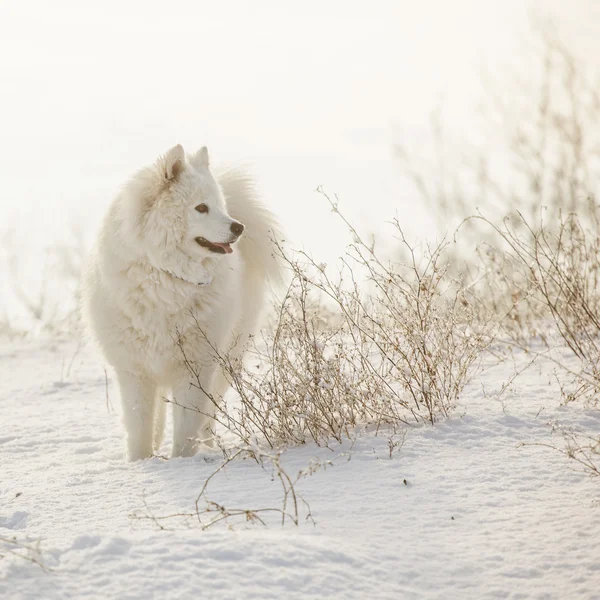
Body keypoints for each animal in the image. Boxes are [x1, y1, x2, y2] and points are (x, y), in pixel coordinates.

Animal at [80, 145, 284, 460]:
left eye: (219, 205)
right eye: (201, 208)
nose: (239, 227)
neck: (165, 280)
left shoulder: (196, 366)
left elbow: (187, 425)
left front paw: (182, 462)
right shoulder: (134, 370)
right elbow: (139, 425)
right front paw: (140, 463)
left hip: (228, 358)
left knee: (210, 412)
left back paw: (209, 444)